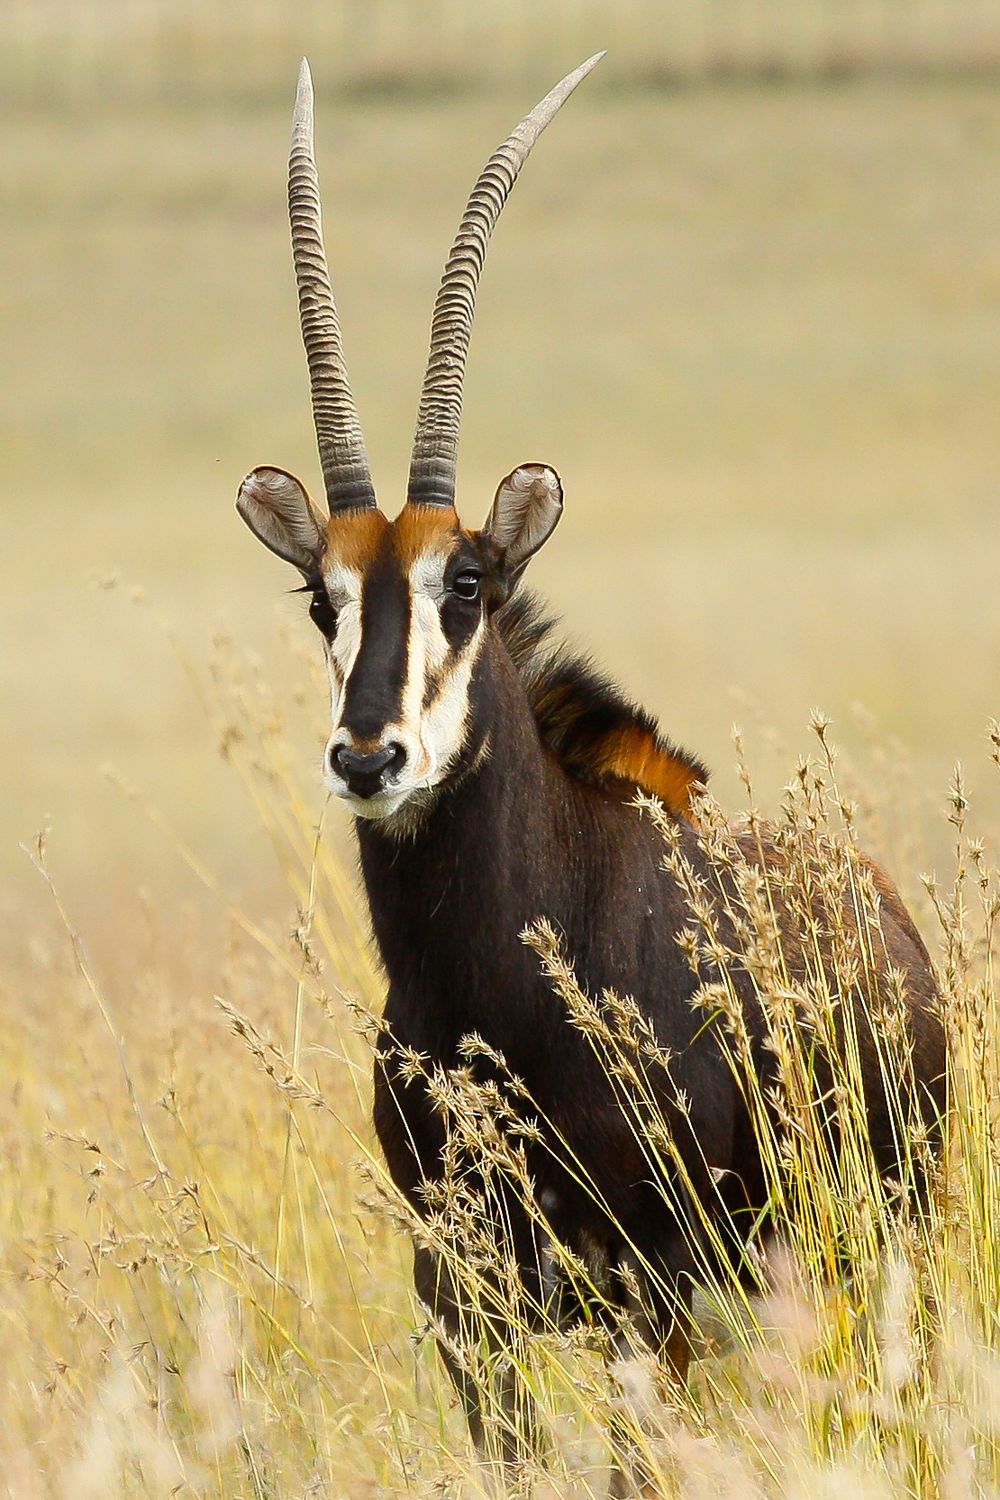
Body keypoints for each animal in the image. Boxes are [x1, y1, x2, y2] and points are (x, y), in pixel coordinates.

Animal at [237, 57, 947, 1490]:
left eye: (466, 582)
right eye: (319, 598)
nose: (368, 754)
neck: (497, 984)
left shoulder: (651, 1291)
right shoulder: (464, 1295)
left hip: (868, 1243)